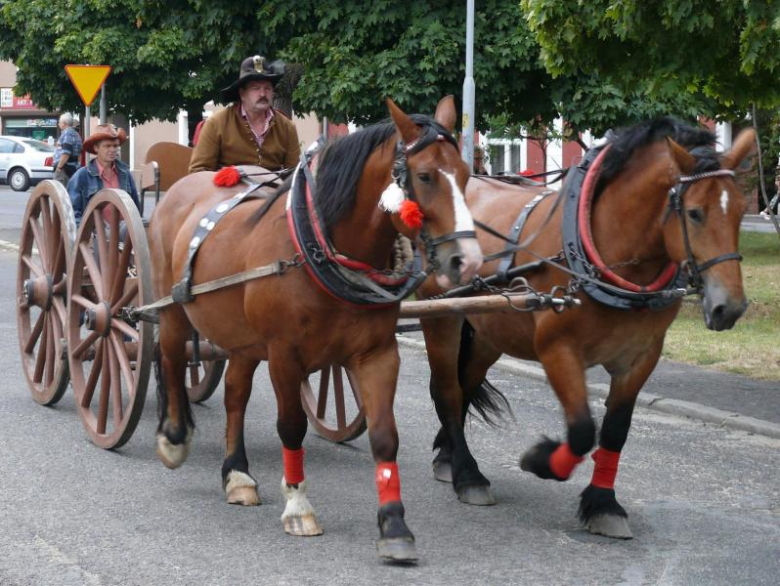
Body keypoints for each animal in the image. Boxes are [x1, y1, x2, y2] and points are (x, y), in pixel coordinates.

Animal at [143, 96, 478, 560]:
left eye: (465, 174)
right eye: (425, 175)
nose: (466, 259)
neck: (318, 246)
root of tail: (182, 188)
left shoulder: (376, 353)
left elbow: (384, 435)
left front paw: (394, 524)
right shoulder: (284, 355)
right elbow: (292, 426)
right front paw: (298, 505)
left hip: (243, 339)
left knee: (235, 395)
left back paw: (237, 474)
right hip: (174, 308)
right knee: (172, 359)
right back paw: (174, 438)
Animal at [420, 118, 756, 540]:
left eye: (741, 210)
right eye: (695, 213)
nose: (730, 307)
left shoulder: (641, 357)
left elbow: (614, 430)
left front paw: (603, 504)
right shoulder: (557, 349)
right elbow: (582, 429)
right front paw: (541, 461)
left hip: (488, 331)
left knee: (465, 385)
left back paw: (449, 457)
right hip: (441, 317)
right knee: (447, 390)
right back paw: (468, 475)